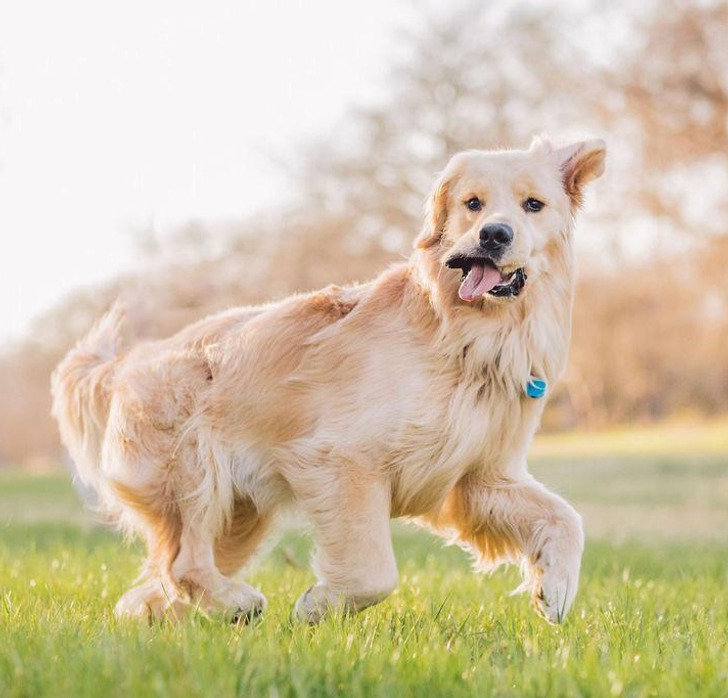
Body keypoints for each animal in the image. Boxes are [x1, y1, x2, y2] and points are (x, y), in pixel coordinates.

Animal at [54, 135, 604, 620]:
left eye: (533, 205)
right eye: (473, 204)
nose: (494, 235)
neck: (465, 334)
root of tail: (126, 362)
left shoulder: (478, 477)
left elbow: (566, 517)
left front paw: (555, 590)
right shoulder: (343, 460)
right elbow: (374, 573)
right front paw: (319, 605)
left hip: (241, 517)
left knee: (156, 583)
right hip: (193, 473)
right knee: (183, 564)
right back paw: (237, 604)